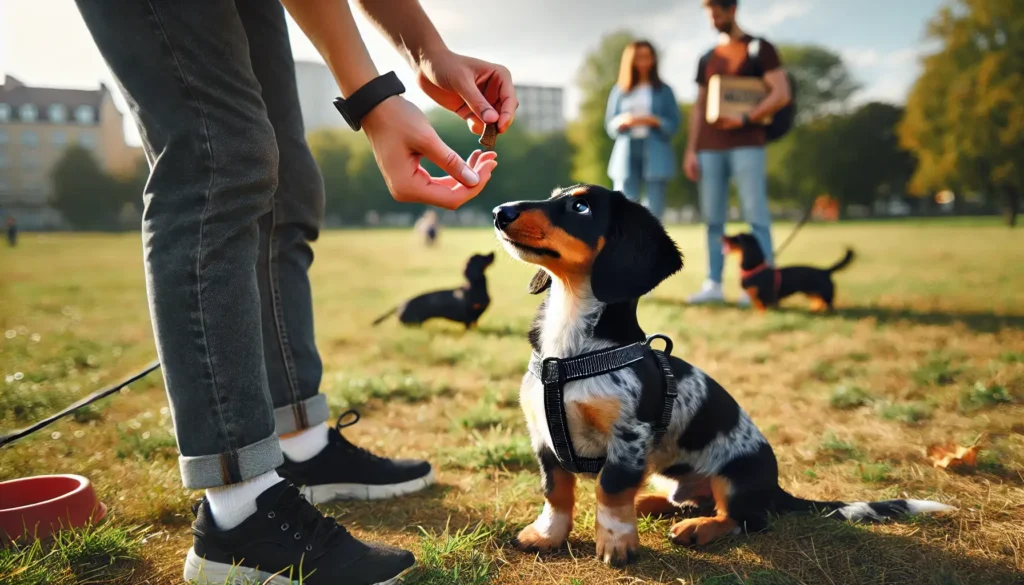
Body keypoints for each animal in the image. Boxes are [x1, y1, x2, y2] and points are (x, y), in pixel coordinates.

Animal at [720, 233, 856, 313]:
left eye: (737, 237)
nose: (722, 235)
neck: (755, 270)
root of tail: (825, 271)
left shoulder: (765, 297)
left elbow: (763, 309)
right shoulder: (757, 299)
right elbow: (758, 308)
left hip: (826, 294)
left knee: (829, 306)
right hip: (811, 292)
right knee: (817, 301)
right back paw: (815, 311)